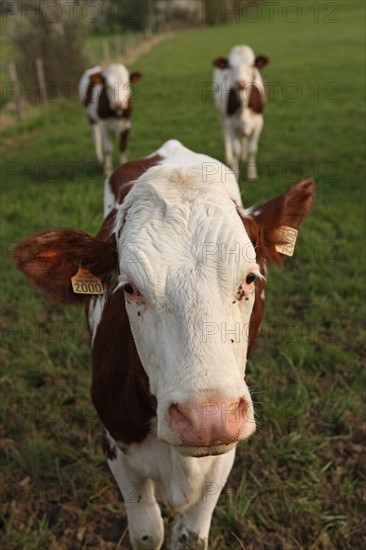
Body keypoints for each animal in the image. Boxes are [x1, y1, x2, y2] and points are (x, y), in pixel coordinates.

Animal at [12, 140, 314, 548]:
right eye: (129, 288)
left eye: (250, 278)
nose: (207, 419)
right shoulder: (116, 447)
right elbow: (146, 533)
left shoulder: (223, 459)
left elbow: (190, 536)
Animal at [213, 44, 270, 181]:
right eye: (230, 66)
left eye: (252, 65)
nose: (240, 82)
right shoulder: (230, 122)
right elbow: (235, 149)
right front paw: (235, 172)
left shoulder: (259, 122)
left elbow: (252, 148)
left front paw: (252, 174)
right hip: (222, 116)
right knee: (226, 136)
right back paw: (229, 158)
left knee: (244, 138)